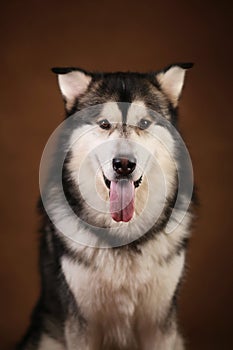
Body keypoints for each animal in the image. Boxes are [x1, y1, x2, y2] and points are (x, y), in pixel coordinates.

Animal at [16, 63, 195, 350]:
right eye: (104, 124)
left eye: (144, 123)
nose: (124, 164)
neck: (124, 236)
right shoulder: (81, 324)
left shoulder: (159, 323)